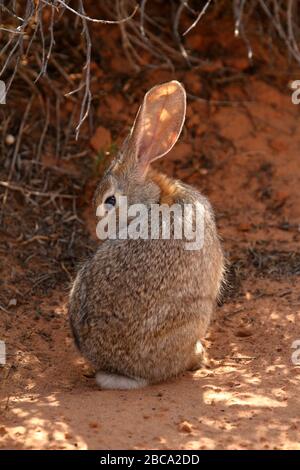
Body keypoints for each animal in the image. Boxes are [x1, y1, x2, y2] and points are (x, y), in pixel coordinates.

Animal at [69, 81, 224, 390]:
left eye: (110, 200)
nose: (99, 226)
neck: (156, 199)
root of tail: (119, 370)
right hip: (196, 316)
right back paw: (199, 355)